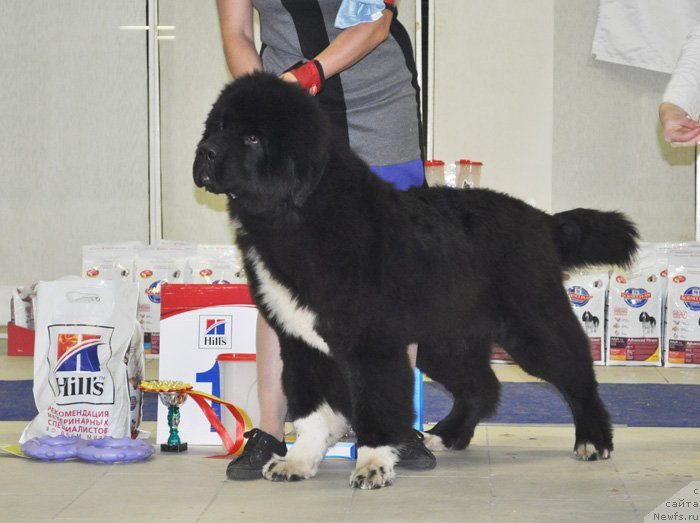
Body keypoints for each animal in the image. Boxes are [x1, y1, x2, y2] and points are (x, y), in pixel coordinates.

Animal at [194, 71, 636, 490]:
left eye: (252, 138)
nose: (204, 152)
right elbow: (309, 408)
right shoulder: (298, 339)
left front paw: (372, 465)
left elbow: (374, 404)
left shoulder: (371, 343)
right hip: (446, 338)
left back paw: (593, 439)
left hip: (529, 326)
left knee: (576, 371)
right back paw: (448, 435)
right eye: (218, 126)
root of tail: (542, 220)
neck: (297, 216)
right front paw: (299, 460)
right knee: (482, 385)